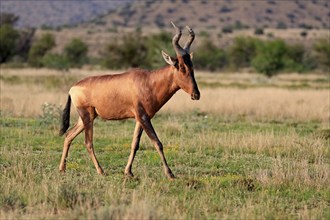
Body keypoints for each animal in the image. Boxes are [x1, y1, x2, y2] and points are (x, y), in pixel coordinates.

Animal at [58, 21, 200, 179]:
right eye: (181, 66)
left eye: (192, 66)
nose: (196, 94)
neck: (148, 81)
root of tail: (73, 88)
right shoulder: (144, 117)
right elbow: (157, 143)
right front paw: (170, 174)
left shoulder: (140, 118)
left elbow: (135, 144)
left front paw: (128, 172)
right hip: (86, 116)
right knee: (88, 143)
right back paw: (101, 171)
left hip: (86, 118)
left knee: (69, 135)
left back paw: (62, 169)